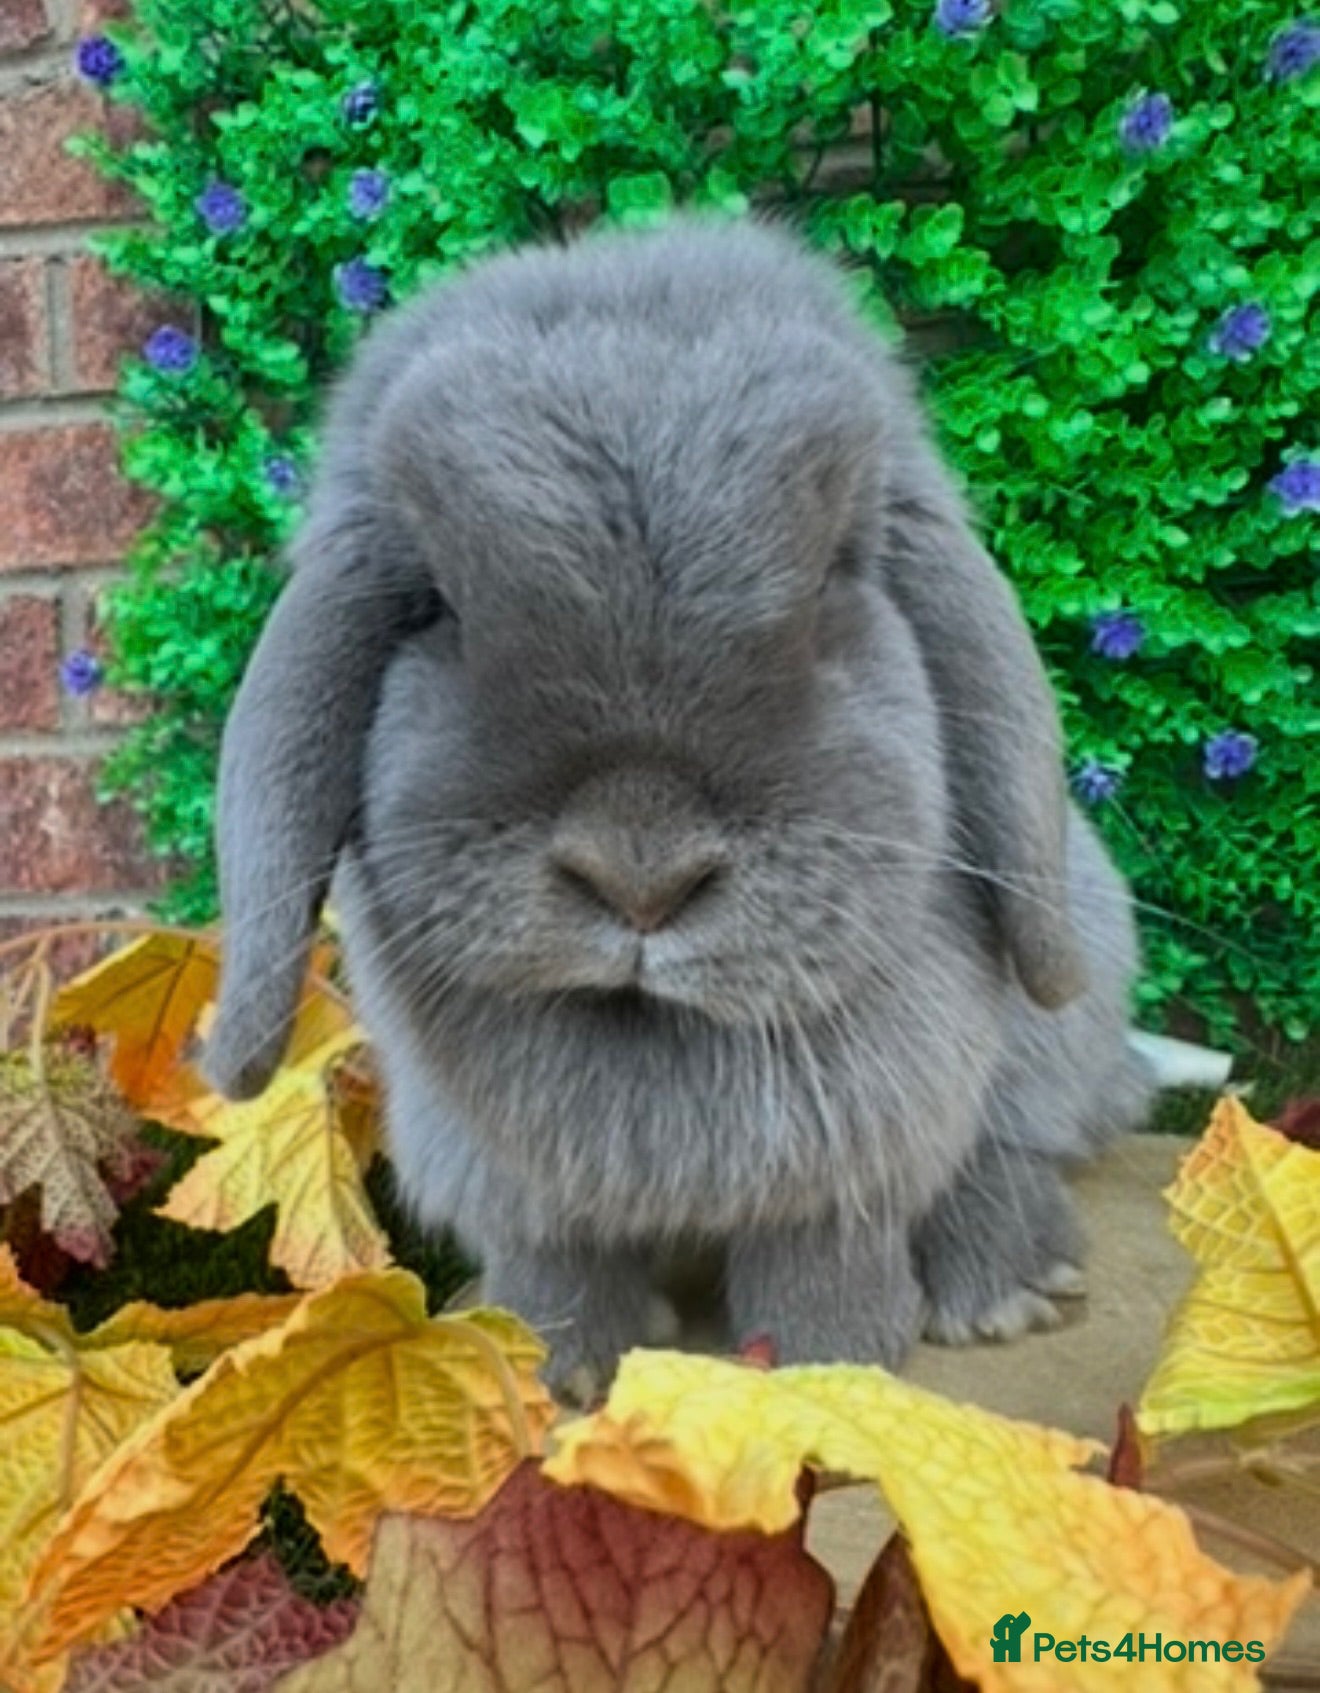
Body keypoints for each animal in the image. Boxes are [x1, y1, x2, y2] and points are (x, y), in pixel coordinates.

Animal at [204, 214, 1154, 1399]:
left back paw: (1004, 1288)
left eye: (833, 581)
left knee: (1011, 1142)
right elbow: (556, 1262)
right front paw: (559, 1371)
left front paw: (837, 1362)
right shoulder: (509, 1181)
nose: (641, 875)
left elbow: (828, 1248)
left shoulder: (859, 1144)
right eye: (436, 606)